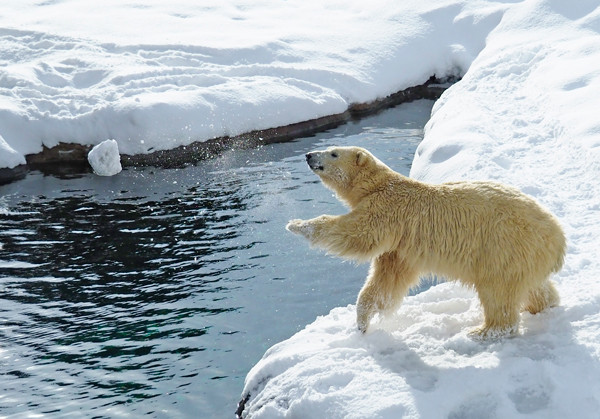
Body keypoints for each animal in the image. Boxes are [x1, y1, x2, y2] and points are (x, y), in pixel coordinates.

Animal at [284, 146, 564, 340]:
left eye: (333, 152)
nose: (309, 155)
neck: (380, 185)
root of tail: (558, 238)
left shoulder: (387, 210)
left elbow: (356, 234)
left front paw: (296, 225)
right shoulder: (400, 246)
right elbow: (385, 283)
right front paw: (363, 324)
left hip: (503, 245)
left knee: (498, 291)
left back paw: (482, 332)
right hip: (526, 254)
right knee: (533, 286)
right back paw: (545, 306)